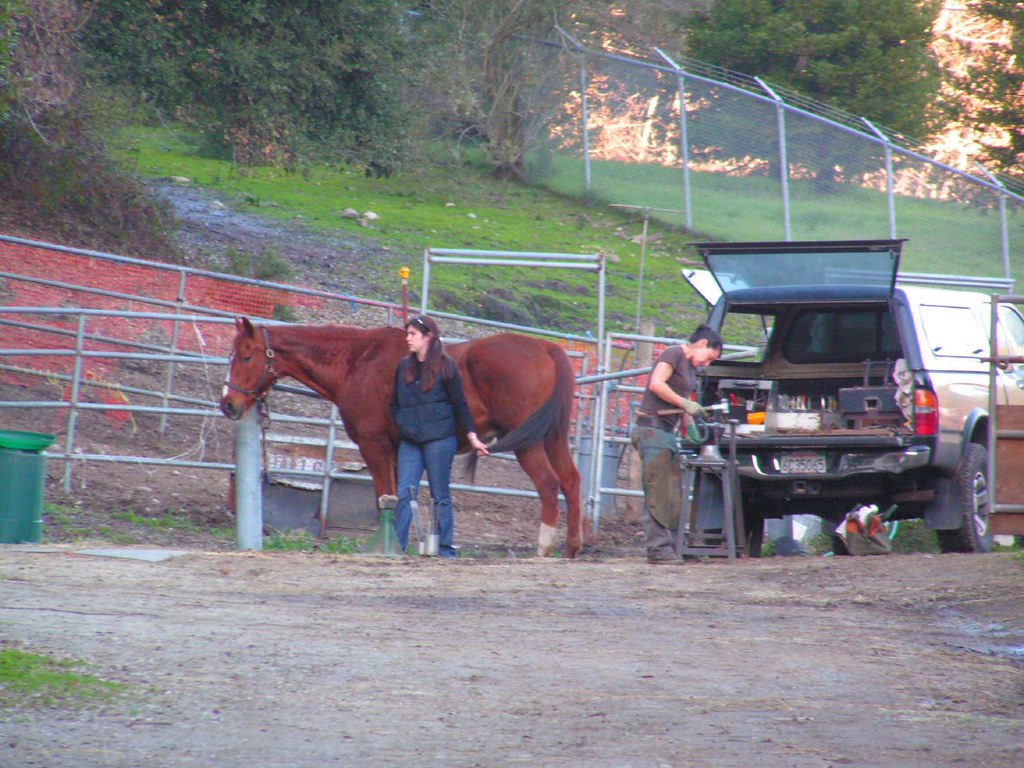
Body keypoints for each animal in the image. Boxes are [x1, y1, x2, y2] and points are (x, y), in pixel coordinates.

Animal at [219, 317, 584, 558]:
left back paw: (544, 548)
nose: (228, 403)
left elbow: (384, 496)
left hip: (529, 444)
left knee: (548, 484)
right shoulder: (397, 451)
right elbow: (398, 496)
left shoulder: (374, 445)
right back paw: (572, 548)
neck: (357, 361)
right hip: (552, 439)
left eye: (247, 356)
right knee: (570, 480)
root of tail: (546, 348)